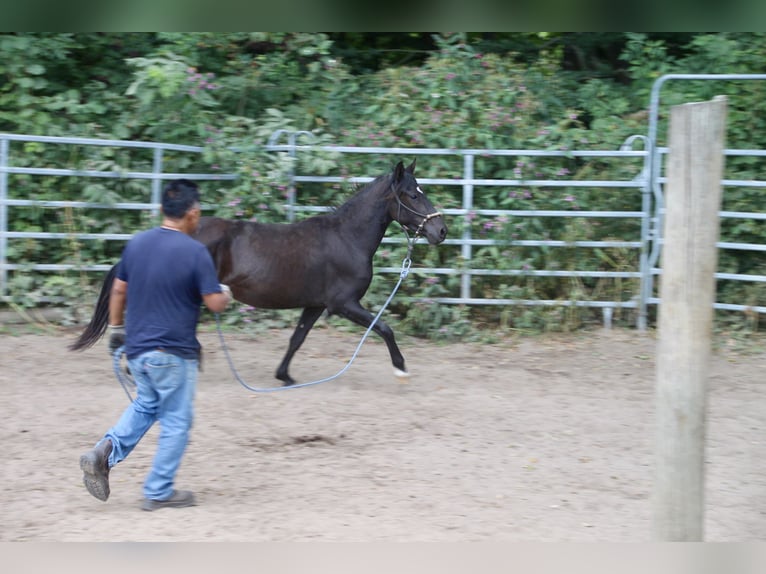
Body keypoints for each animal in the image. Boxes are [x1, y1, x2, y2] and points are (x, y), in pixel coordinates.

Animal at [69, 159, 448, 386]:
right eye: (412, 195)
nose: (440, 231)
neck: (346, 238)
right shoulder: (343, 304)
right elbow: (383, 327)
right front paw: (401, 368)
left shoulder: (315, 304)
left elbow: (297, 338)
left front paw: (285, 376)